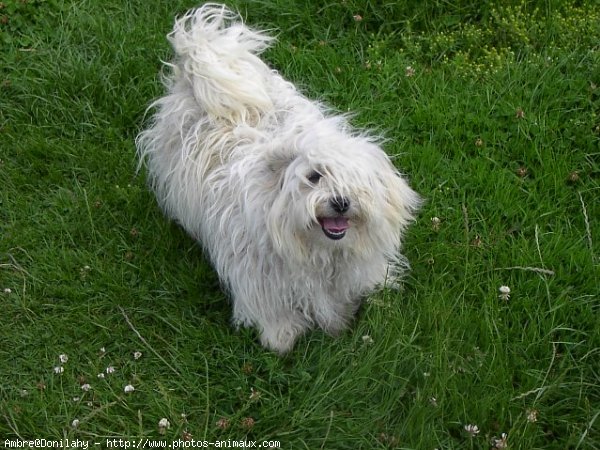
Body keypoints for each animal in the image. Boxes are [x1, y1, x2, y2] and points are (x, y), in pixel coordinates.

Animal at [137, 4, 420, 356]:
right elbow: (274, 314)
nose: (341, 202)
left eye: (358, 180)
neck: (318, 252)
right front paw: (282, 336)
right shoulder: (259, 276)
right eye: (314, 176)